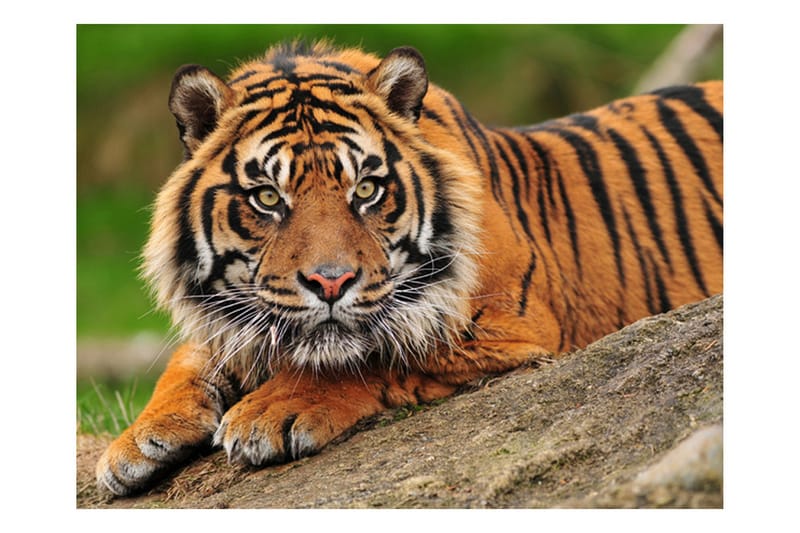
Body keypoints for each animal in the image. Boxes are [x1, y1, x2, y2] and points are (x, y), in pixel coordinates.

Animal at [95, 41, 722, 496]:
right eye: (268, 198)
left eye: (366, 190)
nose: (330, 282)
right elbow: (191, 357)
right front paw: (136, 443)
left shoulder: (508, 328)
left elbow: (372, 354)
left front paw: (269, 412)